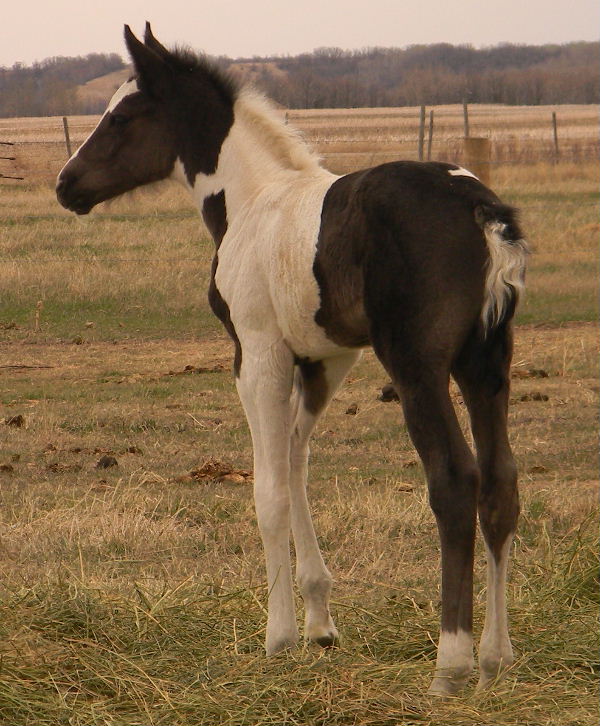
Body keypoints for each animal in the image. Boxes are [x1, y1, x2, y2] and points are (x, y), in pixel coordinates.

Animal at [56, 24, 528, 696]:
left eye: (122, 116)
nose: (67, 185)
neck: (252, 201)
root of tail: (479, 208)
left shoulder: (257, 355)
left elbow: (270, 491)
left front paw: (278, 637)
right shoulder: (323, 362)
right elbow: (298, 462)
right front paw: (320, 625)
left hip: (419, 368)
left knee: (456, 481)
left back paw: (452, 661)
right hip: (486, 365)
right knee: (500, 483)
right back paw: (496, 655)